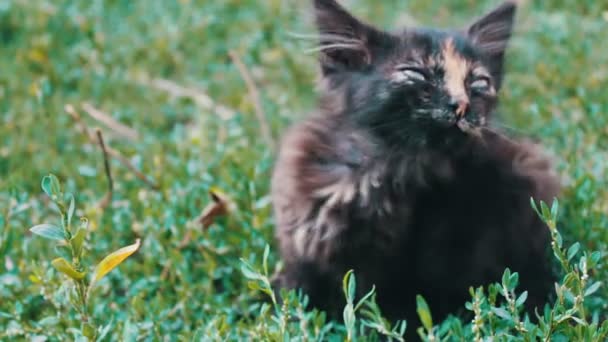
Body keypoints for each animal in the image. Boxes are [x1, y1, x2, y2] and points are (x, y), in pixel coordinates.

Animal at [270, 0, 560, 332]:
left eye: (478, 83)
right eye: (416, 74)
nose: (461, 105)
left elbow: (399, 312)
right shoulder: (302, 246)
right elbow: (296, 292)